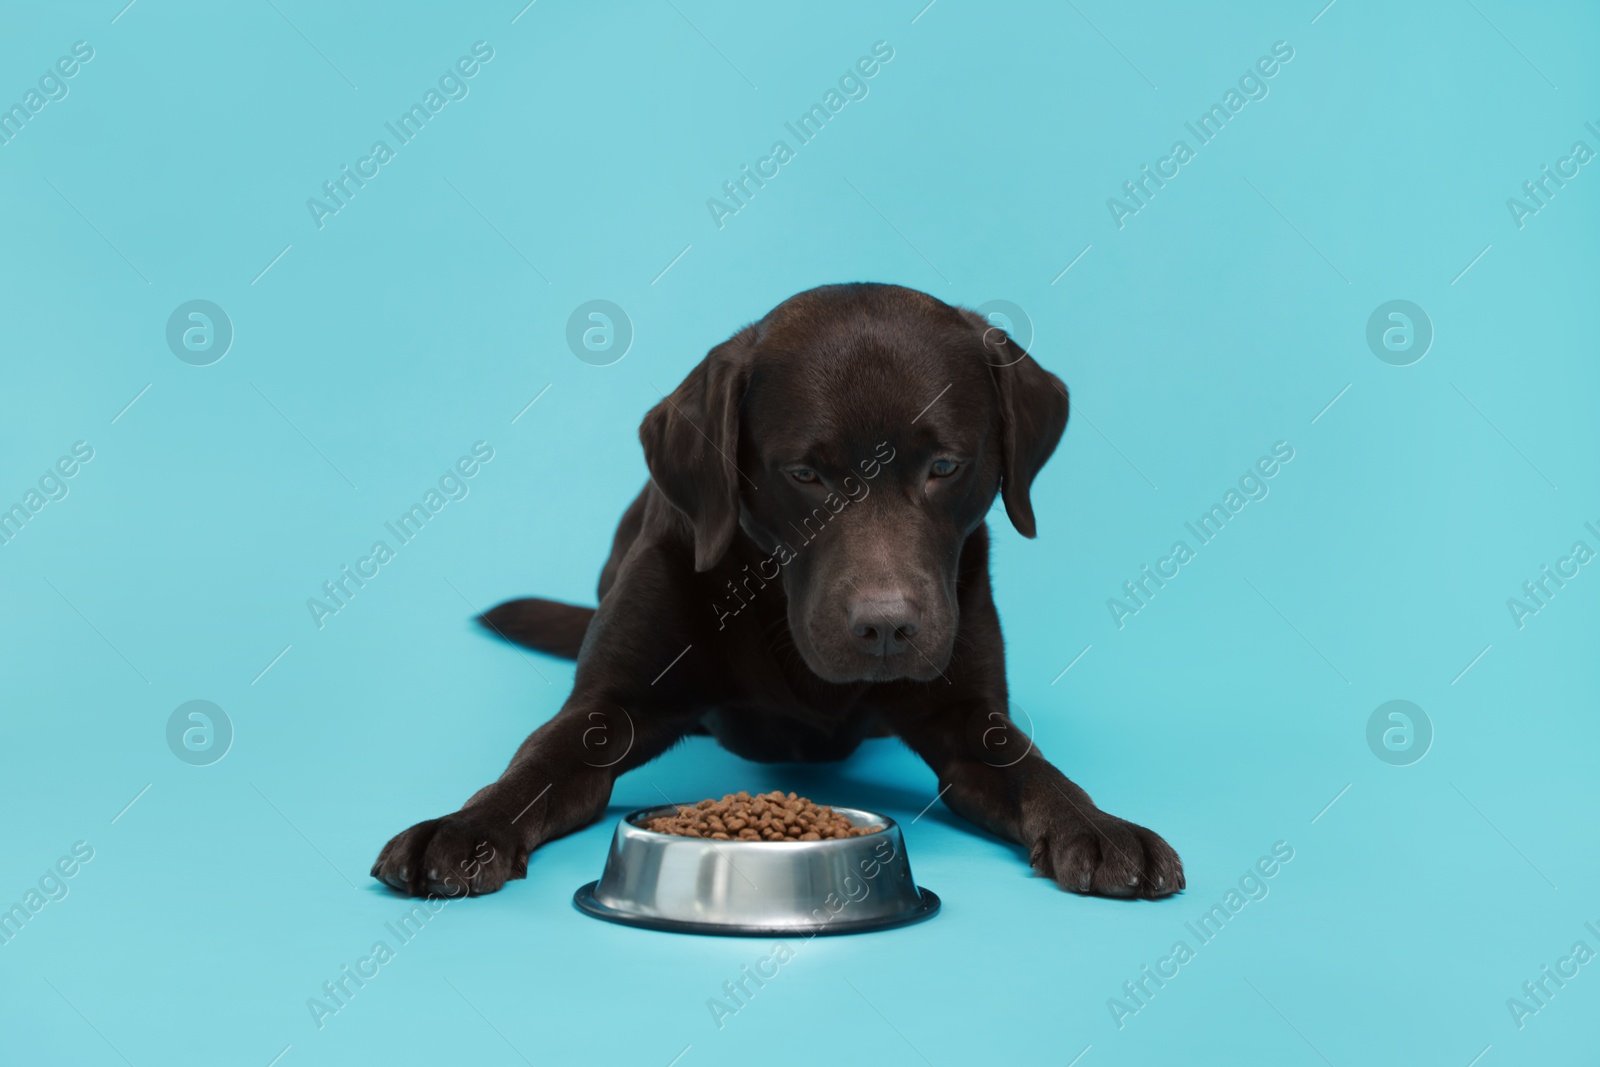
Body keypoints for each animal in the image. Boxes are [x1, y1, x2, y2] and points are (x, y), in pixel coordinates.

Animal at [368, 281, 1184, 902]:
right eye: (805, 473)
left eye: (945, 467)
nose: (886, 628)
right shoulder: (604, 707)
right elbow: (536, 763)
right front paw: (464, 828)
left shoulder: (968, 715)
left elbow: (1030, 766)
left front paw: (1100, 826)